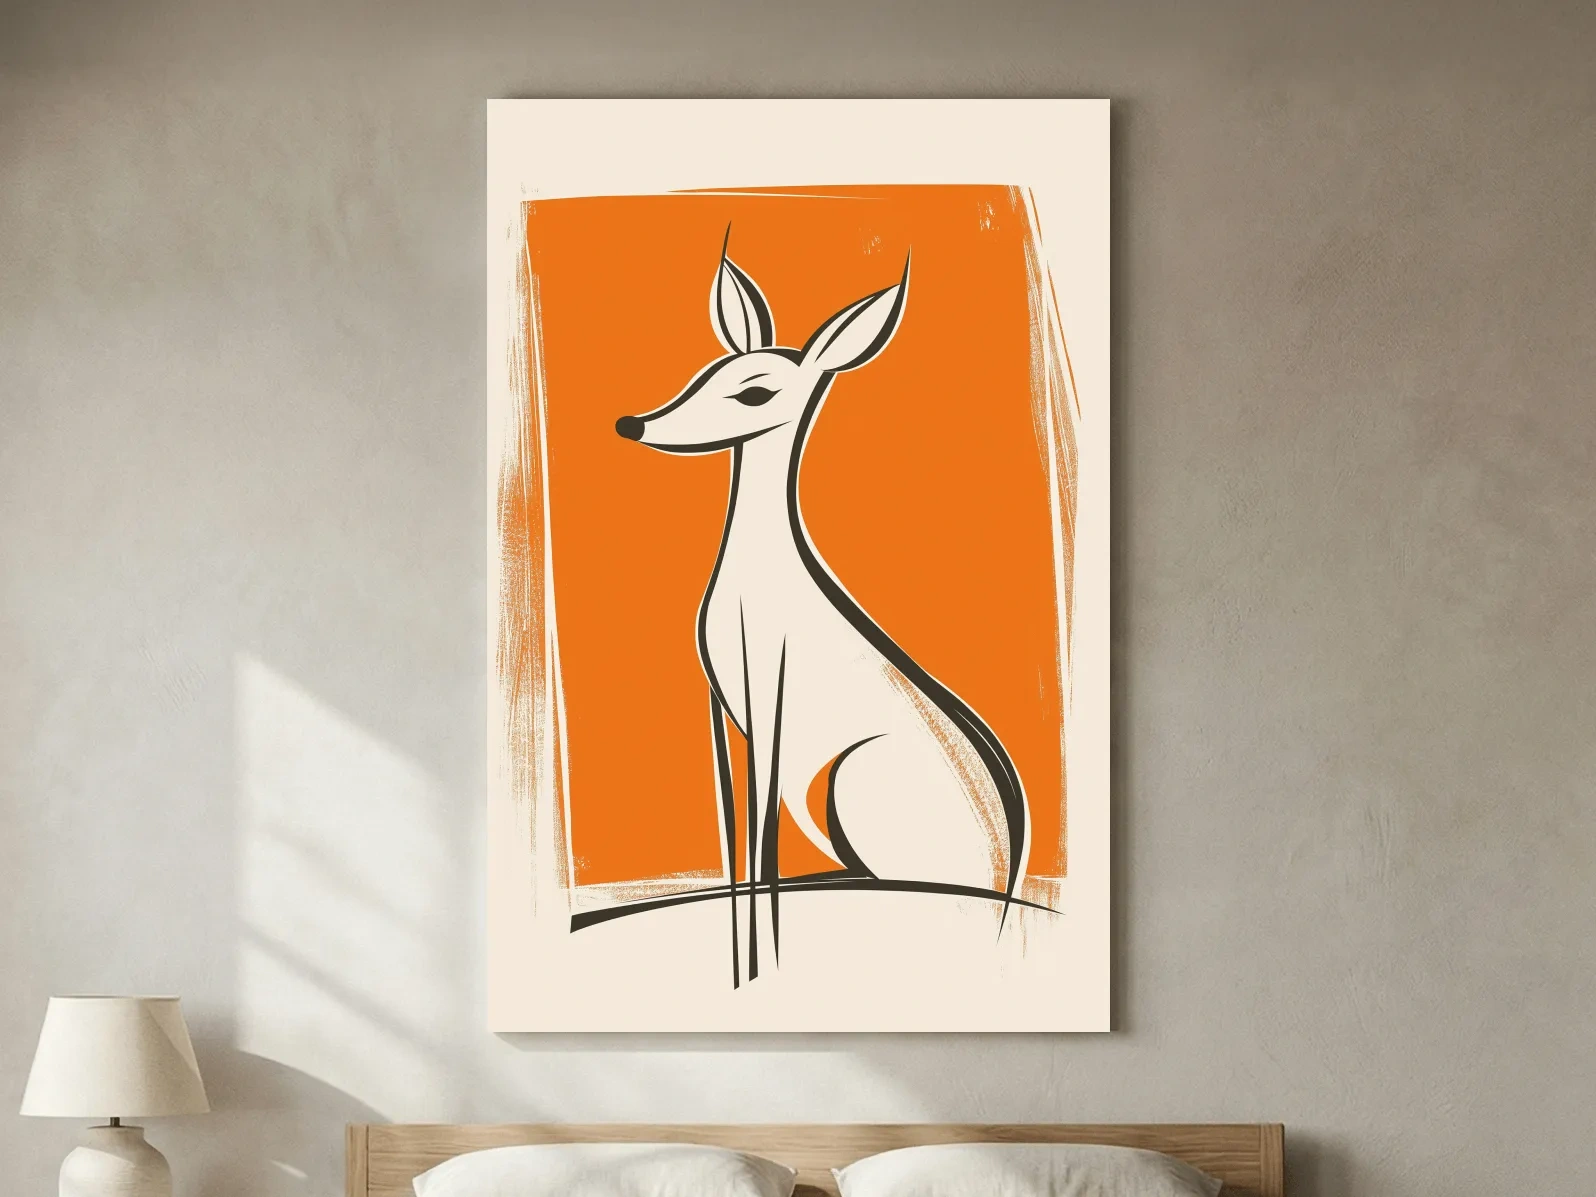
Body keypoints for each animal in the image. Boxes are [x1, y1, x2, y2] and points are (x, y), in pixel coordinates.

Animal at [615, 230, 1031, 986]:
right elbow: (731, 823)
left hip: (851, 779)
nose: (634, 424)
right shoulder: (721, 702)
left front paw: (760, 955)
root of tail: (1001, 889)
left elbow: (760, 833)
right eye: (705, 371)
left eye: (754, 391)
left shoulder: (772, 695)